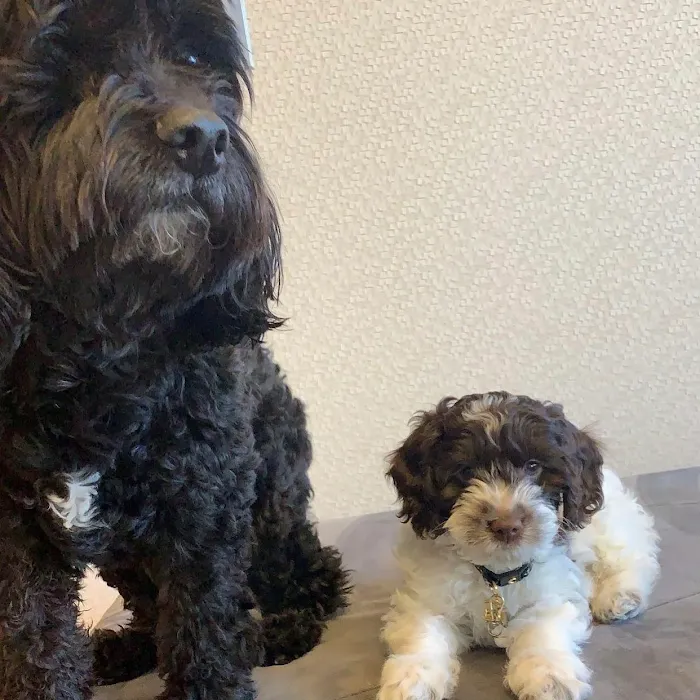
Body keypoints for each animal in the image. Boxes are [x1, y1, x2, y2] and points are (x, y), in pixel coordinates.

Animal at [0, 1, 350, 699]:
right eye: (68, 50)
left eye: (193, 58)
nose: (203, 137)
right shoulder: (18, 539)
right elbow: (38, 645)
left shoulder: (205, 510)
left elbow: (204, 628)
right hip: (124, 552)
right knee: (147, 606)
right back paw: (122, 650)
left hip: (268, 505)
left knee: (306, 571)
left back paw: (282, 630)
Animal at [378, 392, 659, 700]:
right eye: (466, 471)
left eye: (533, 466)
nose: (506, 525)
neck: (495, 573)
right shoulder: (426, 597)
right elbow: (423, 632)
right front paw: (410, 678)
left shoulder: (550, 592)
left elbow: (541, 628)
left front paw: (549, 676)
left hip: (610, 527)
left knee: (632, 559)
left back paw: (621, 597)